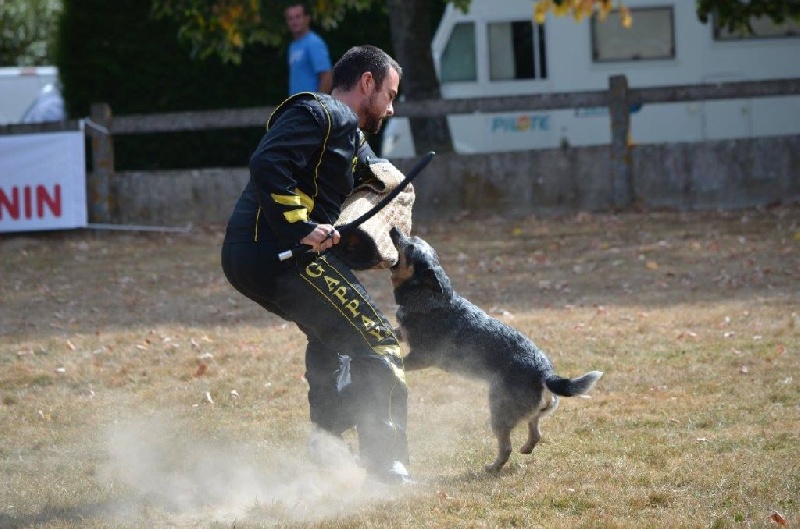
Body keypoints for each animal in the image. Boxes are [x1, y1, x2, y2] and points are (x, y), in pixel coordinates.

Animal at [389, 227, 603, 472]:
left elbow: (402, 360)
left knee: (507, 446)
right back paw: (526, 448)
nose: (394, 228)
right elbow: (394, 330)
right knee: (535, 430)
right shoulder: (404, 334)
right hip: (531, 410)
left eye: (410, 246)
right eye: (413, 238)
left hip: (498, 409)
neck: (430, 297)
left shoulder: (423, 356)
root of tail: (545, 373)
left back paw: (493, 467)